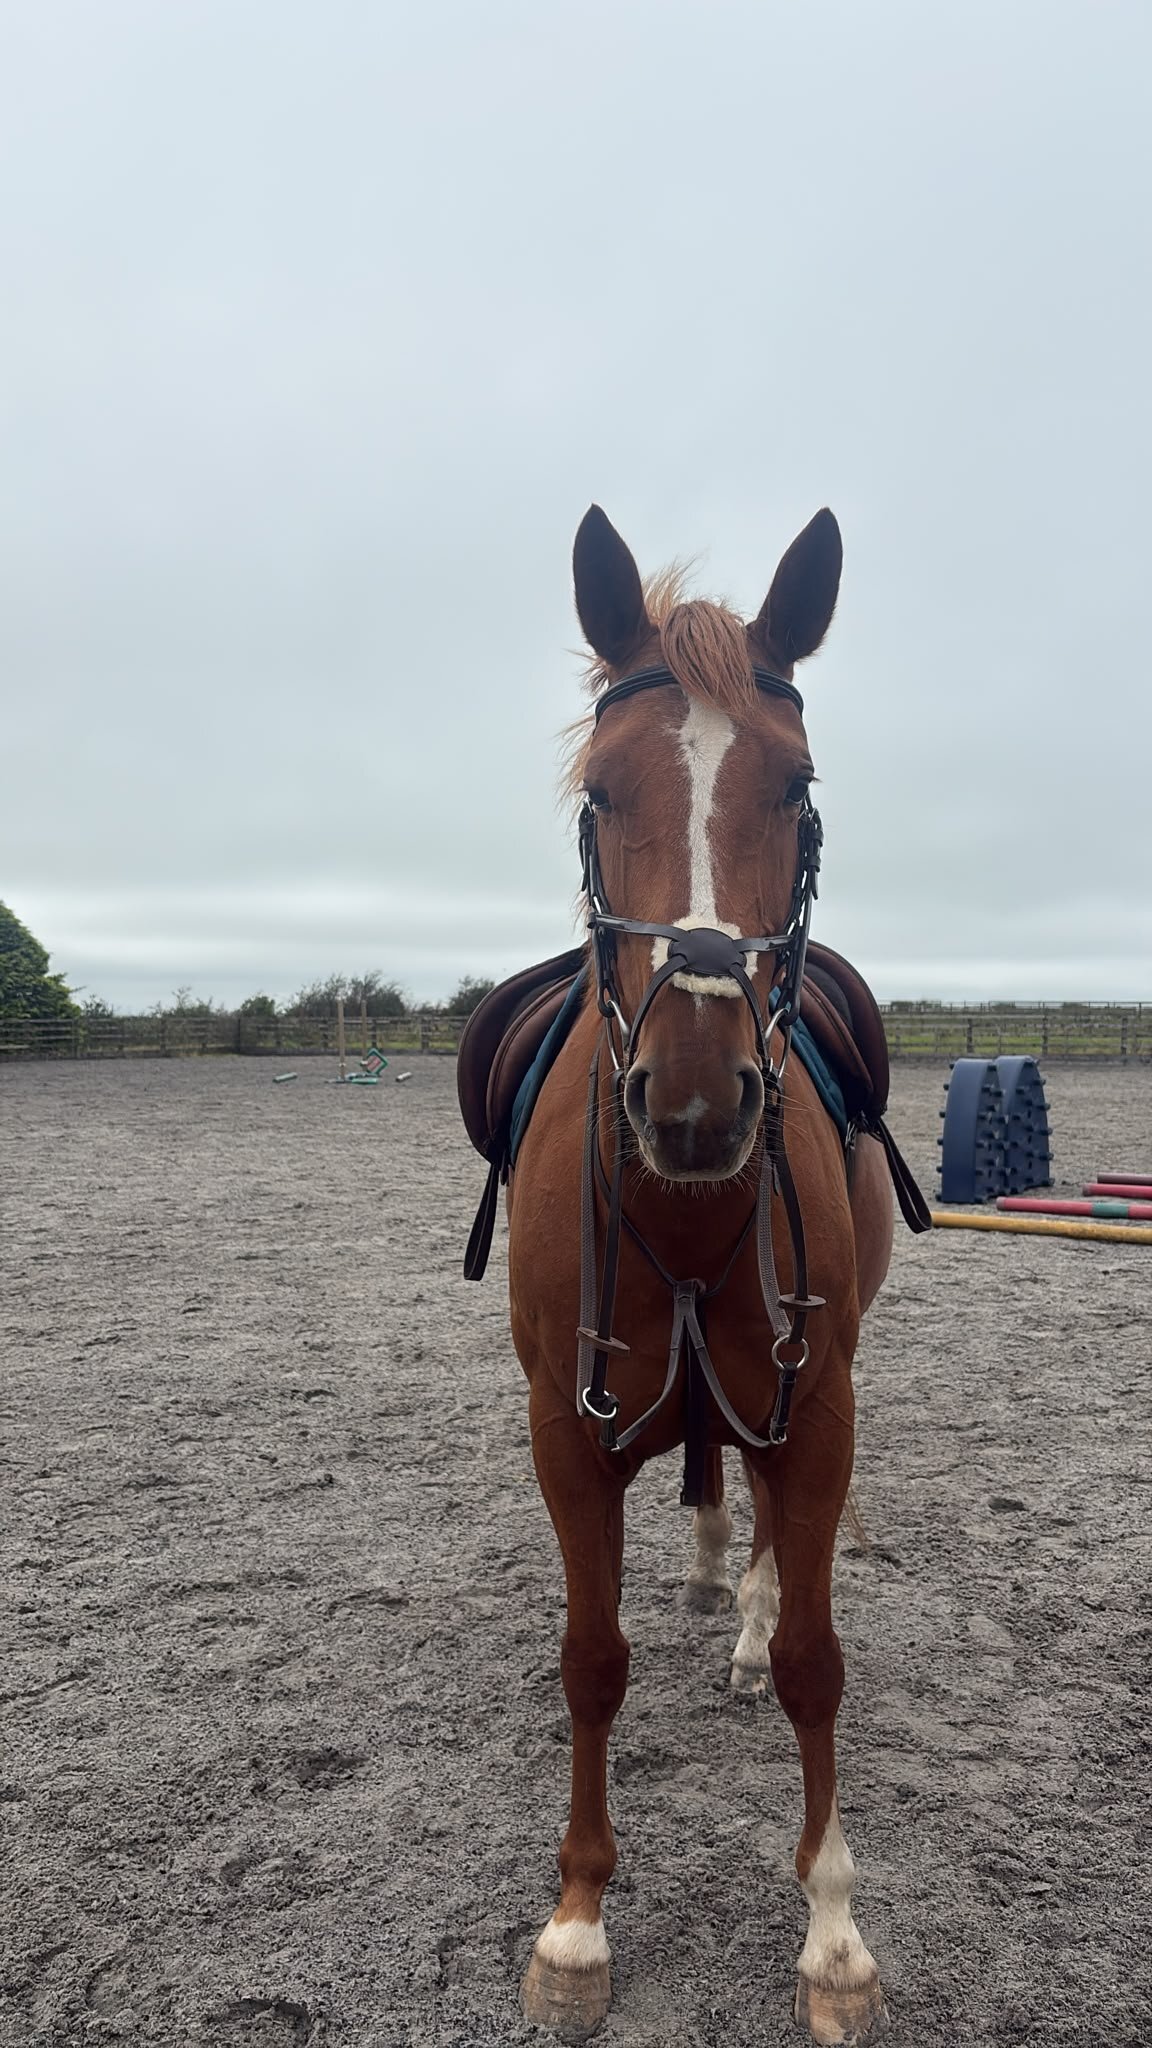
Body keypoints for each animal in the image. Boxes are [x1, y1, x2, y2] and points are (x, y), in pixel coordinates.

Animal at [500, 505, 901, 2043]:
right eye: (602, 790)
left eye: (795, 786)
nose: (690, 1100)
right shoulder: (565, 1427)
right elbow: (591, 1659)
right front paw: (576, 1923)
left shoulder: (820, 1405)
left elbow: (815, 1660)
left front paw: (833, 1935)